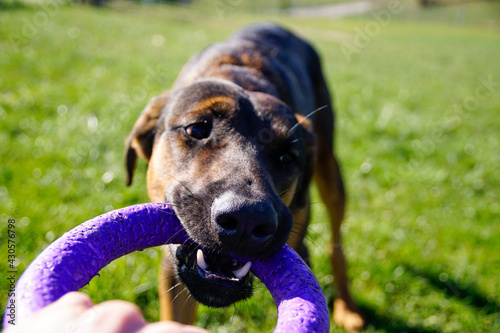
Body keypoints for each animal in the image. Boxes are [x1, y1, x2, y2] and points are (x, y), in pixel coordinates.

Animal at [125, 22, 364, 330]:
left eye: (287, 157)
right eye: (197, 129)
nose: (247, 220)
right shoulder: (172, 272)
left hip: (329, 167)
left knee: (337, 241)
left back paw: (347, 307)